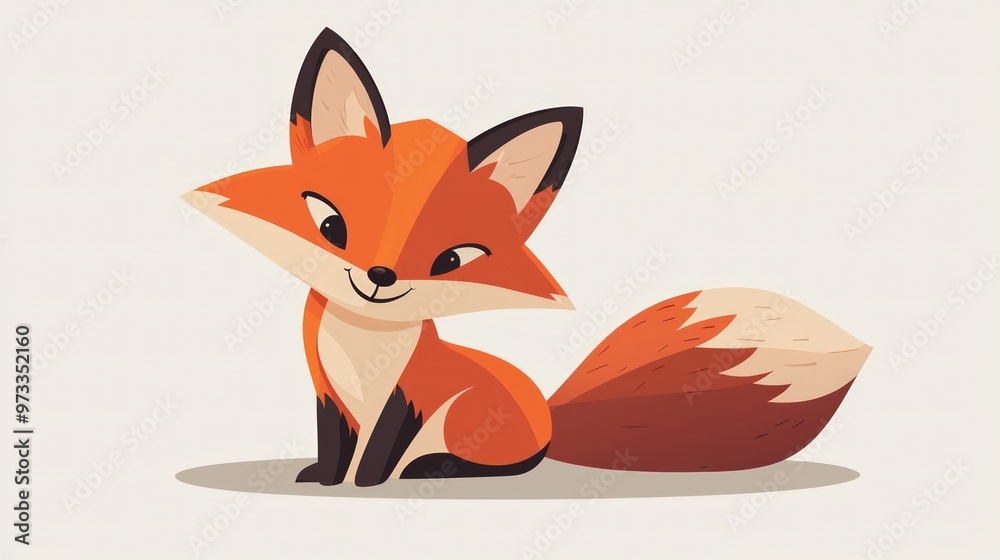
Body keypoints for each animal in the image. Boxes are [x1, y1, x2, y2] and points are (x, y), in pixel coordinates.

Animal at [181, 28, 871, 487]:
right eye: (330, 224)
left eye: (452, 260)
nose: (379, 276)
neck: (363, 346)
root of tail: (550, 415)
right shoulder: (328, 393)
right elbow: (333, 447)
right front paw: (325, 480)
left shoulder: (412, 398)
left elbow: (378, 453)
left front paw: (367, 484)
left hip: (468, 421)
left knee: (501, 464)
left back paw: (435, 469)